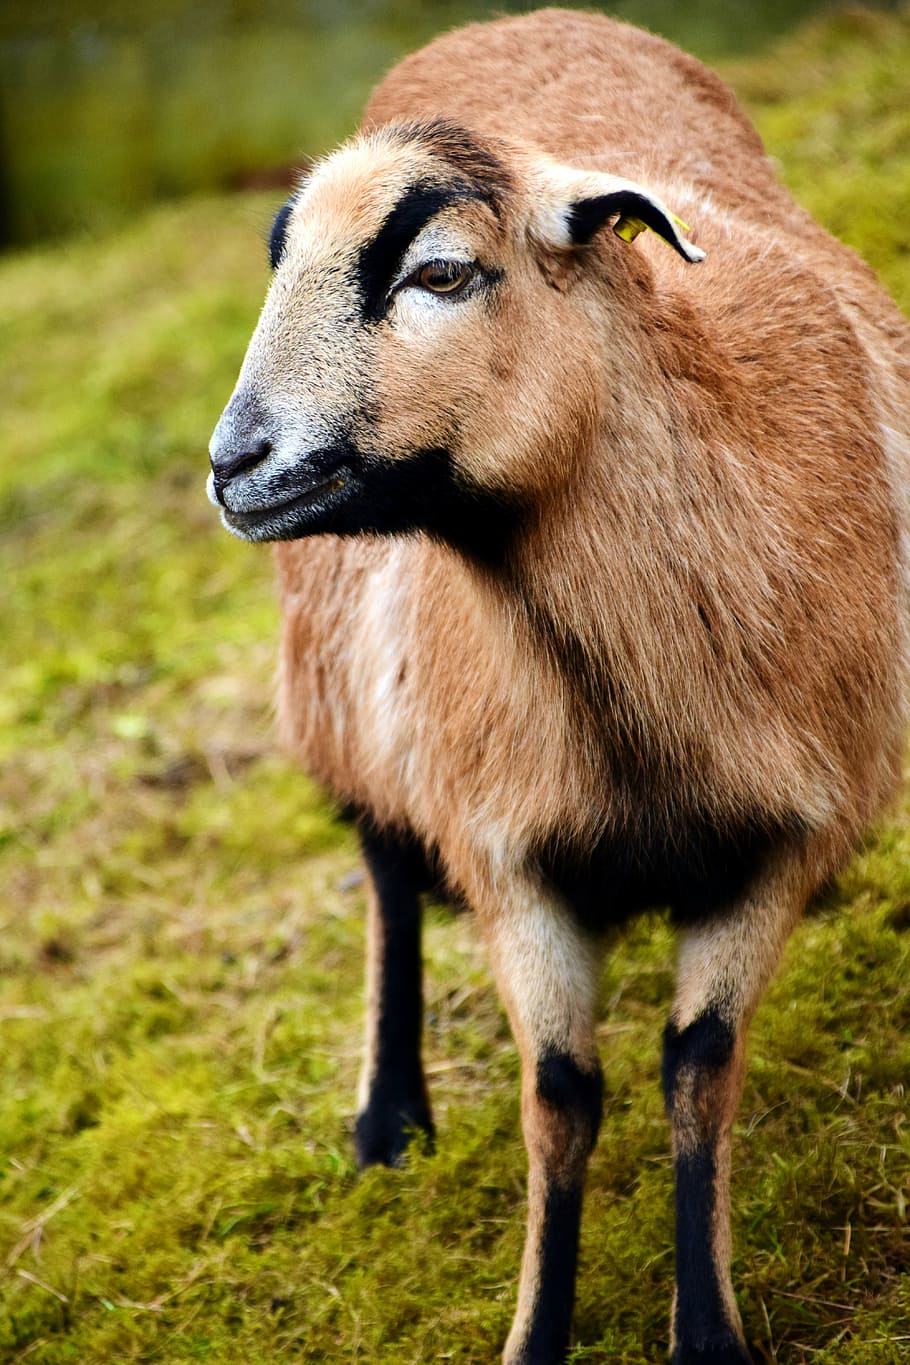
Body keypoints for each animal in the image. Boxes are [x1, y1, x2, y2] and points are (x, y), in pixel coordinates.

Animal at [206, 10, 910, 1365]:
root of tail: (514, 20)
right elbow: (559, 1096)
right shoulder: (507, 852)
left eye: (439, 275)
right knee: (385, 870)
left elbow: (699, 1066)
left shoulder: (776, 843)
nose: (234, 462)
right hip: (347, 694)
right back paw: (388, 1119)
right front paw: (536, 1333)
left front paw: (709, 1335)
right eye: (280, 267)